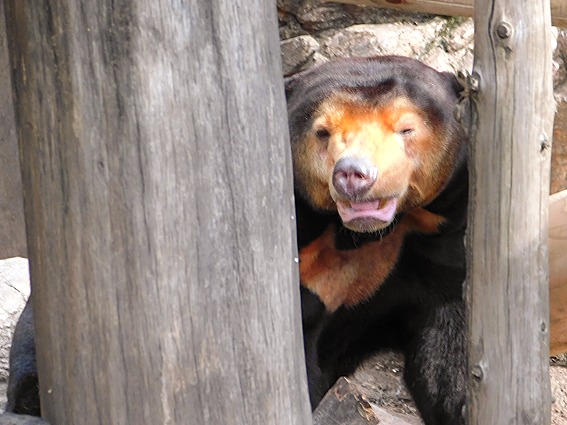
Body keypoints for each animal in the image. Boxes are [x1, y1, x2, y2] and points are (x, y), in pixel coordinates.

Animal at [288, 54, 470, 422]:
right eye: (322, 132)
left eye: (407, 128)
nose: (353, 174)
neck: (361, 235)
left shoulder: (444, 231)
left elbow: (448, 341)